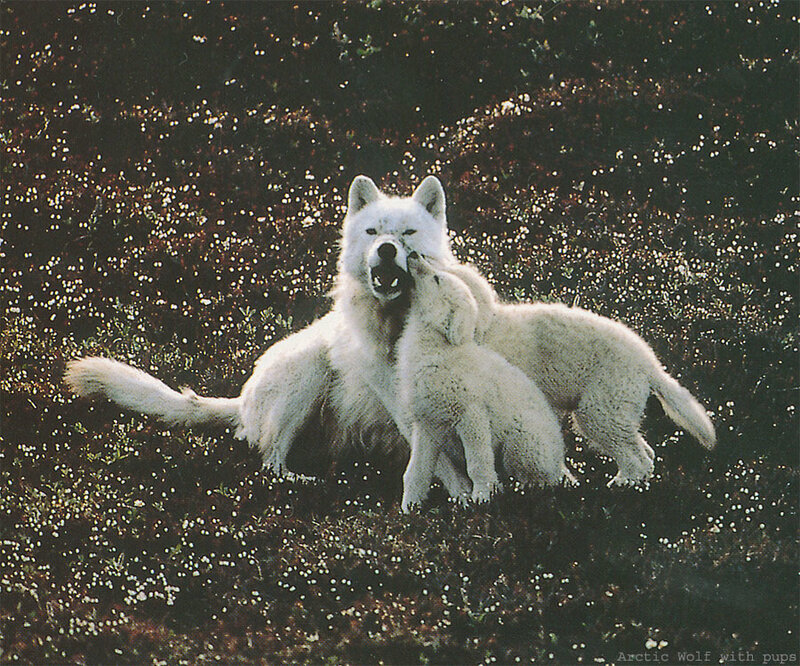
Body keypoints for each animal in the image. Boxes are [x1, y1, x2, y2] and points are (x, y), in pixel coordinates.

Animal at [397, 254, 575, 512]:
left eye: (437, 279)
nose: (413, 255)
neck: (438, 350)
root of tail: (560, 461)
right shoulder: (428, 423)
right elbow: (416, 472)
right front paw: (409, 508)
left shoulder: (472, 415)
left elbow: (477, 463)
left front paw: (481, 498)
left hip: (521, 442)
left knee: (539, 479)